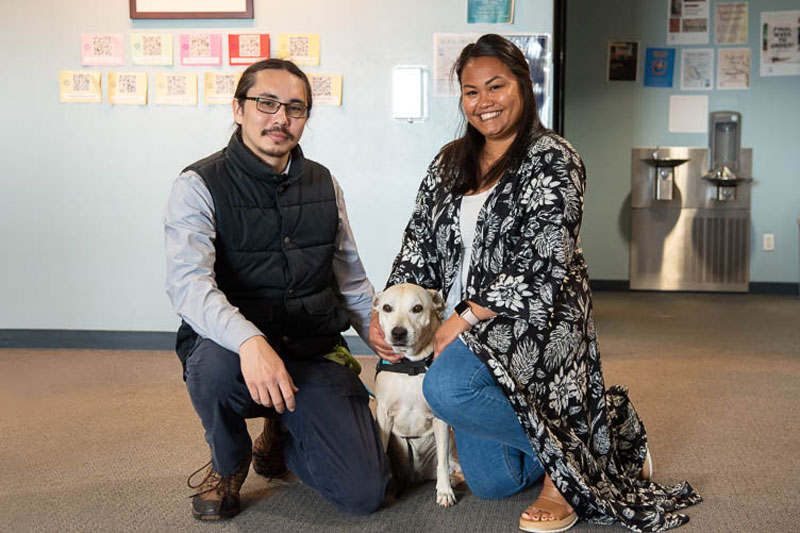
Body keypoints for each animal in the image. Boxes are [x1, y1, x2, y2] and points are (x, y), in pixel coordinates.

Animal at [372, 280, 460, 504]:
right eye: (387, 308)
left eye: (417, 308)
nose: (398, 332)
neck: (410, 366)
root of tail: (418, 476)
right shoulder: (383, 416)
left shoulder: (440, 420)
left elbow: (443, 463)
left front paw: (445, 491)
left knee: (449, 464)